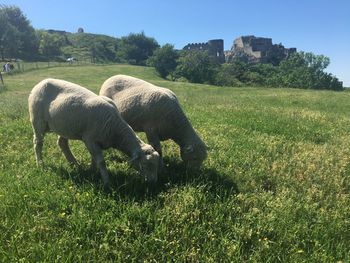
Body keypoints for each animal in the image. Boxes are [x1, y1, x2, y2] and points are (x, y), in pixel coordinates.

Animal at [28, 78, 160, 188]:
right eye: (145, 165)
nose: (154, 183)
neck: (115, 130)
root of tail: (41, 82)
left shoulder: (93, 142)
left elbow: (94, 158)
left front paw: (92, 172)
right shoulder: (90, 139)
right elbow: (101, 161)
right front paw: (107, 182)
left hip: (64, 125)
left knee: (62, 143)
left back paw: (74, 164)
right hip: (37, 120)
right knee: (38, 143)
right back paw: (40, 164)